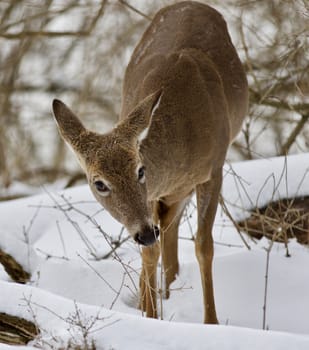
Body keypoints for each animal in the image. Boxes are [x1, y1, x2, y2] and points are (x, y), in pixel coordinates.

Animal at [51, 0, 248, 322]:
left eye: (140, 170)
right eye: (99, 184)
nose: (143, 233)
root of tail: (192, 4)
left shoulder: (213, 168)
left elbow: (203, 246)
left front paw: (211, 322)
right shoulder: (157, 197)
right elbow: (151, 253)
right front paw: (151, 315)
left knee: (172, 237)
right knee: (166, 239)